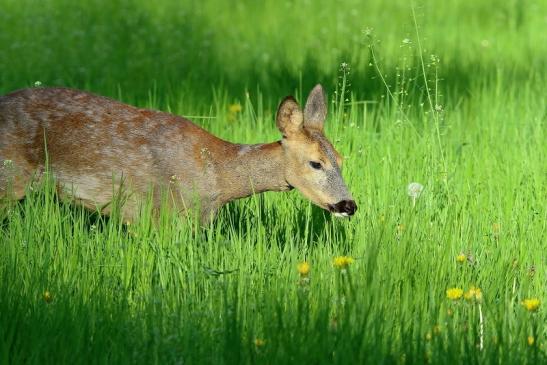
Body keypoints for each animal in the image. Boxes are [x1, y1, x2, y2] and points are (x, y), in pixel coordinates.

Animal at [0, 84, 358, 223]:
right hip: (9, 178)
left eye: (341, 160)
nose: (348, 205)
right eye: (315, 163)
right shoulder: (157, 216)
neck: (218, 176)